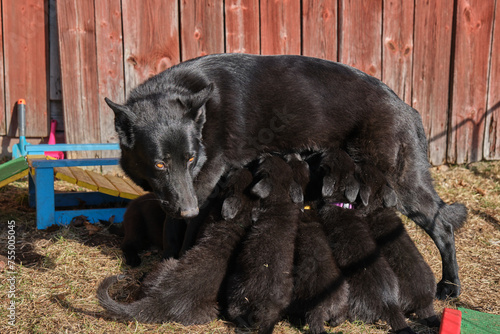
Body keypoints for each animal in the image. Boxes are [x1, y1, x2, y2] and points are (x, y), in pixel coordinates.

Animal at [106, 52, 468, 298]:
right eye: (160, 165)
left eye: (191, 158)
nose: (190, 209)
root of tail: (406, 106)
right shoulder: (179, 196)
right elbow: (170, 228)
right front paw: (164, 263)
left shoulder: (202, 188)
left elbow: (185, 235)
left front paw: (176, 272)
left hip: (403, 184)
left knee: (443, 227)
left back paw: (449, 286)